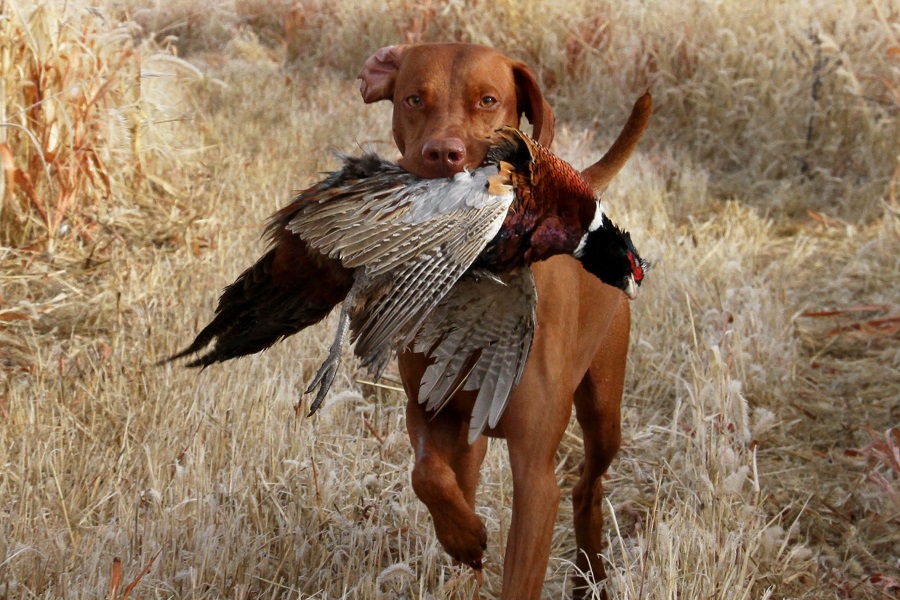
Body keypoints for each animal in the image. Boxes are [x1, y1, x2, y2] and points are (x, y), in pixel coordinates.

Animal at [356, 42, 652, 596]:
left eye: (488, 100)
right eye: (413, 99)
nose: (443, 154)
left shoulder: (535, 474)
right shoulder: (429, 412)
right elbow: (426, 475)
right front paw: (464, 537)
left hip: (604, 410)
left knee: (587, 484)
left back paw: (590, 575)